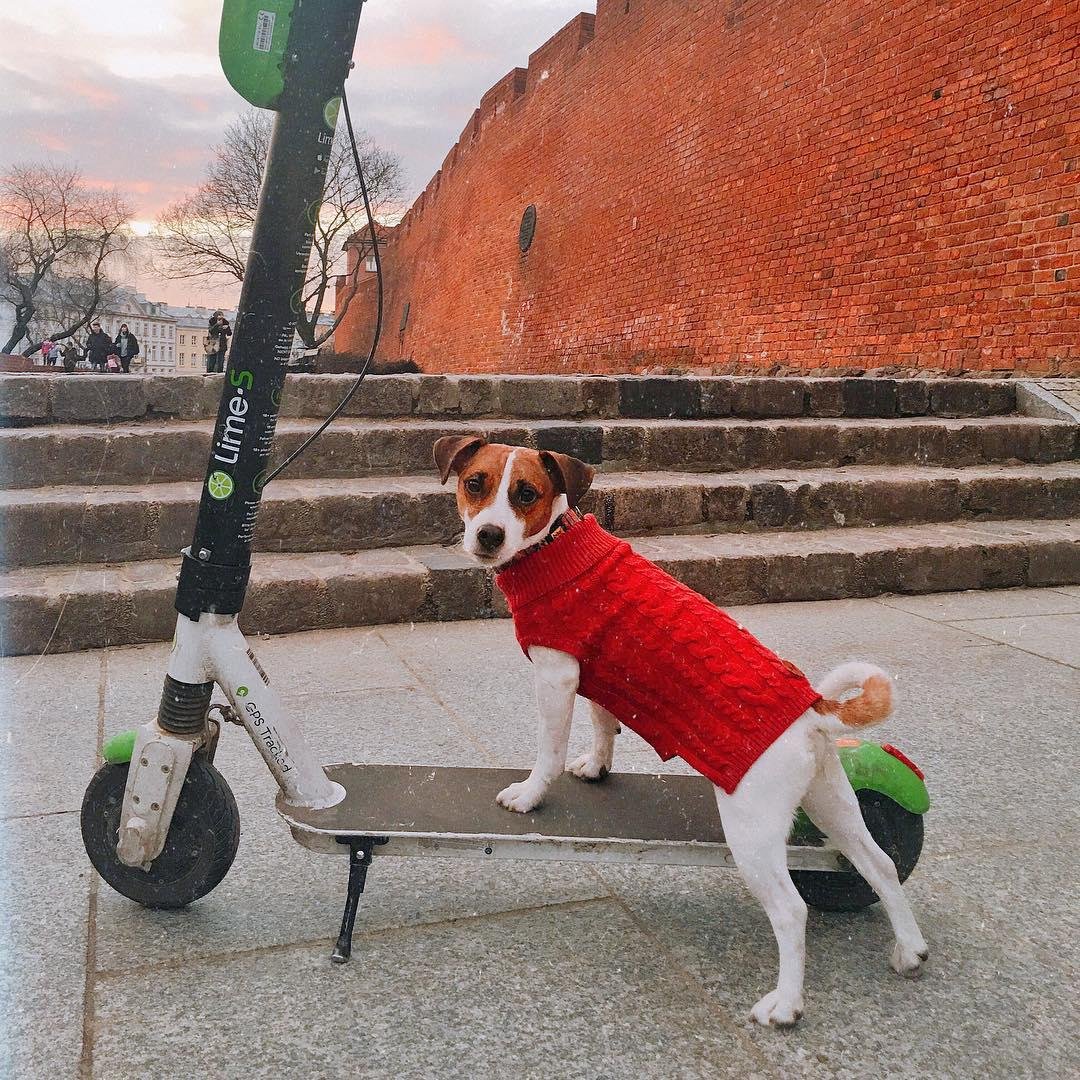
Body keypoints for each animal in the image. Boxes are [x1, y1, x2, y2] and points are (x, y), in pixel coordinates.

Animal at [432, 434, 928, 1023]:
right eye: (475, 483)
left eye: (525, 493)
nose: (488, 534)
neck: (552, 545)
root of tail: (812, 712)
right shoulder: (598, 675)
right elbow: (604, 725)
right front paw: (597, 767)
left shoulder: (556, 675)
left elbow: (548, 753)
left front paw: (530, 796)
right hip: (833, 801)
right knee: (880, 865)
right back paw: (909, 949)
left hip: (753, 831)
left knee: (792, 910)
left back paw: (785, 1003)